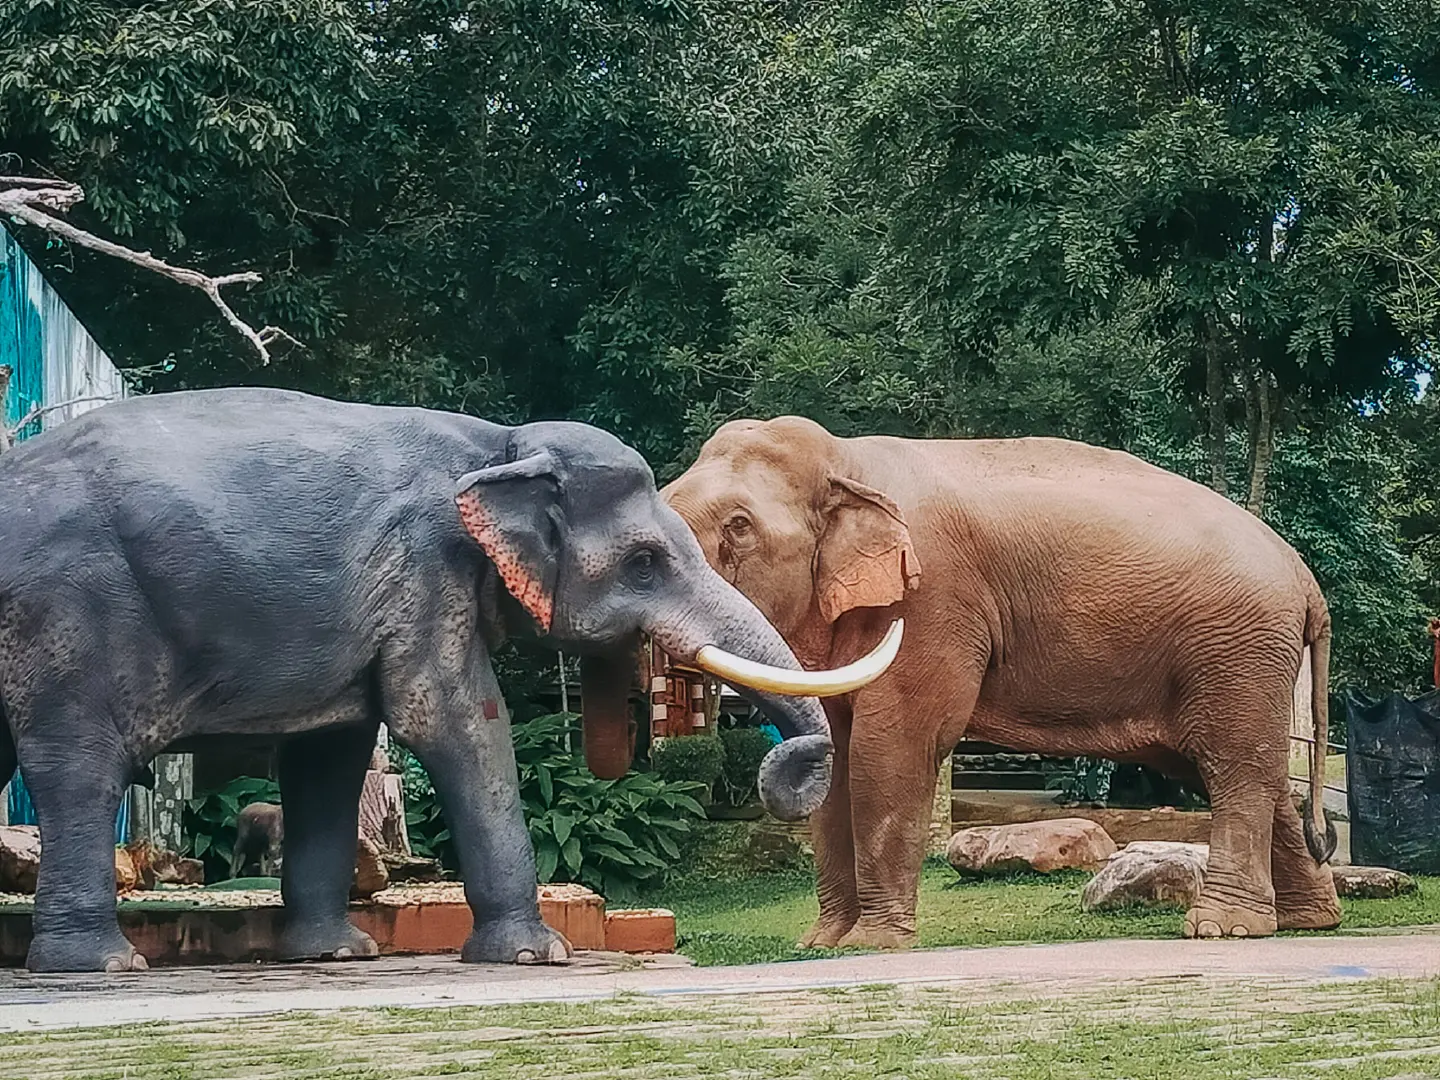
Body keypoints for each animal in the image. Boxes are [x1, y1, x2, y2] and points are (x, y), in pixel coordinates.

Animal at [0, 388, 899, 972]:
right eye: (644, 563)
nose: (781, 775)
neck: (500, 443)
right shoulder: (424, 571)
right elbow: (453, 720)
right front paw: (538, 958)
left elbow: (332, 751)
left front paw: (338, 954)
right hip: (69, 612)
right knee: (78, 766)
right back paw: (102, 966)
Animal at [662, 415, 1340, 948]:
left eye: (739, 526)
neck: (847, 459)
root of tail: (1307, 580)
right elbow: (838, 745)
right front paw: (822, 945)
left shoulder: (932, 602)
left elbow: (894, 748)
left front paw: (871, 945)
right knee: (1255, 775)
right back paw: (1307, 923)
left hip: (1238, 650)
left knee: (1235, 768)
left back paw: (1222, 929)